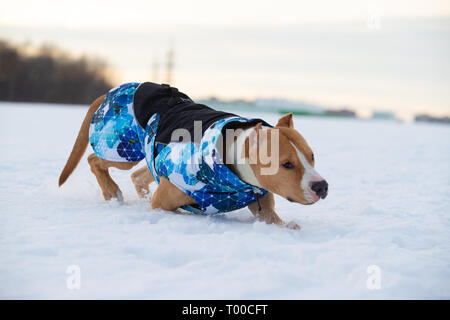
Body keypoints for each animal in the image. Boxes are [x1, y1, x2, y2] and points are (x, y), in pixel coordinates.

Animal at [59, 81, 326, 229]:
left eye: (312, 156)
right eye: (287, 164)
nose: (322, 186)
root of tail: (116, 90)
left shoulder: (260, 200)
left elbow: (272, 217)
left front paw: (287, 226)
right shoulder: (165, 198)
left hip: (151, 153)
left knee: (138, 176)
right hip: (122, 149)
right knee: (95, 160)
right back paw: (112, 192)